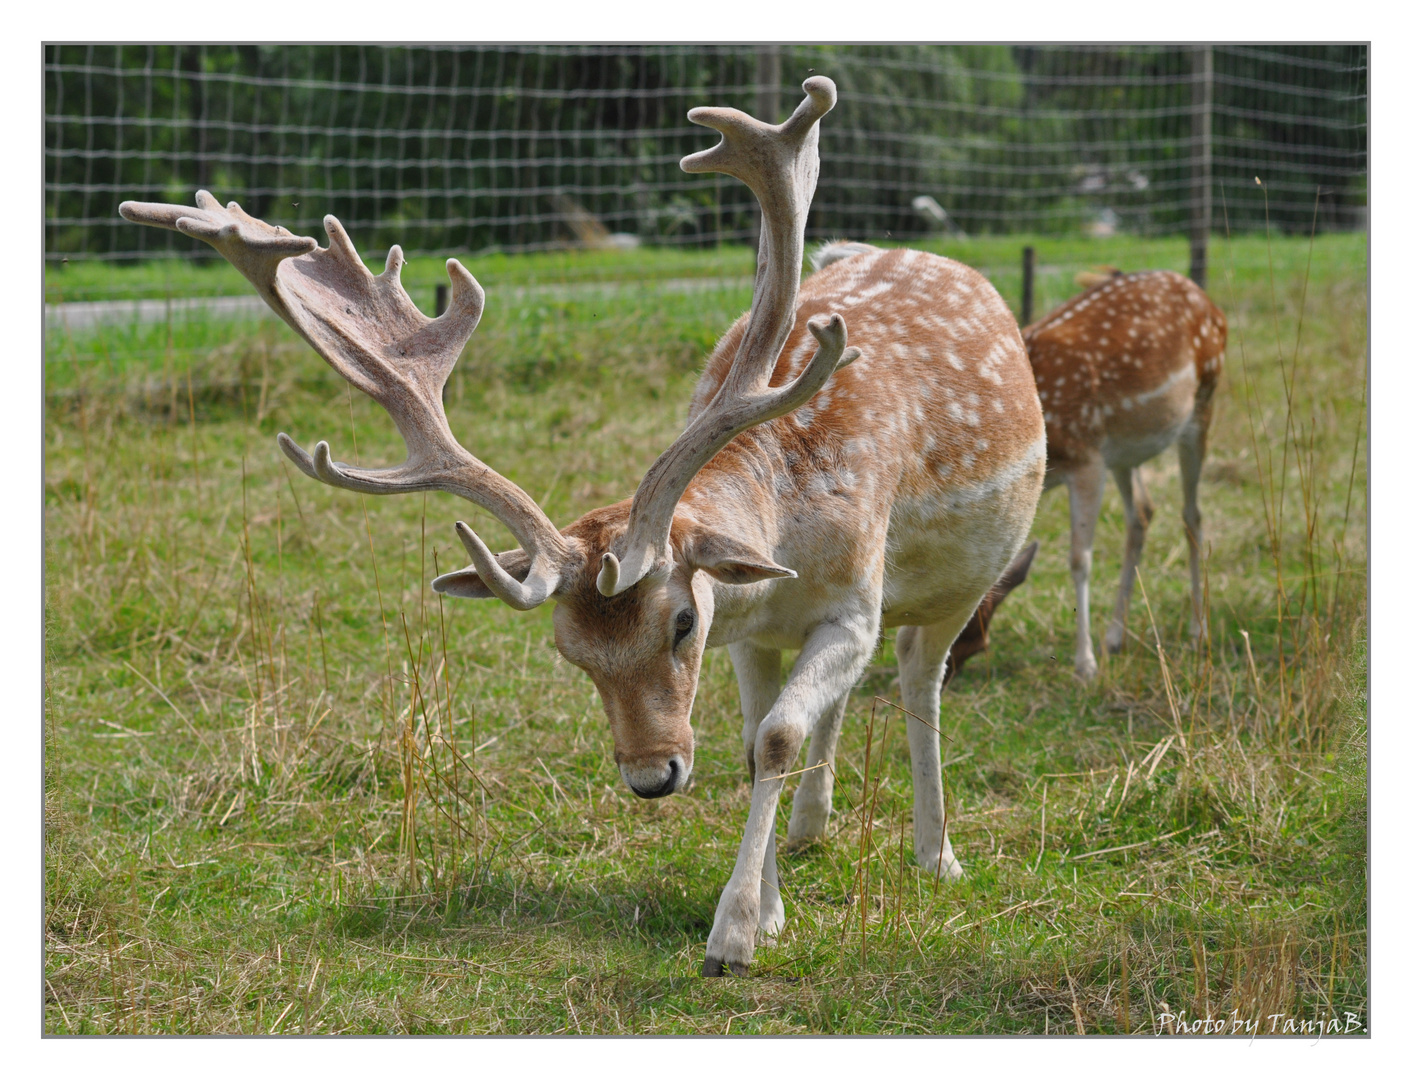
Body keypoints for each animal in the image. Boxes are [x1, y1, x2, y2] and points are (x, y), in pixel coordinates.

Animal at [124, 73, 1050, 971]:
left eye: (681, 623)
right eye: (571, 652)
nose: (651, 777)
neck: (787, 531)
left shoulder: (852, 601)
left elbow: (778, 738)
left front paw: (734, 938)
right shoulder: (753, 629)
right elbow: (758, 736)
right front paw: (775, 907)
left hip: (961, 586)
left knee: (919, 678)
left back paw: (937, 854)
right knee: (854, 698)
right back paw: (812, 828)